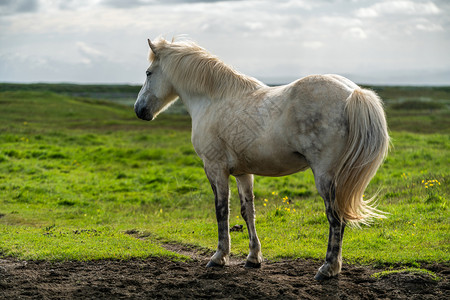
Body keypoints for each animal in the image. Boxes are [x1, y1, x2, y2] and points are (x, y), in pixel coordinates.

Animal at [134, 38, 390, 282]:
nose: (139, 110)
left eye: (148, 73)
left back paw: (327, 269)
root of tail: (352, 92)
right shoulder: (242, 172)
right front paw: (253, 258)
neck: (213, 99)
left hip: (326, 177)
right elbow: (248, 211)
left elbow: (221, 210)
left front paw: (219, 257)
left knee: (335, 218)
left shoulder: (215, 168)